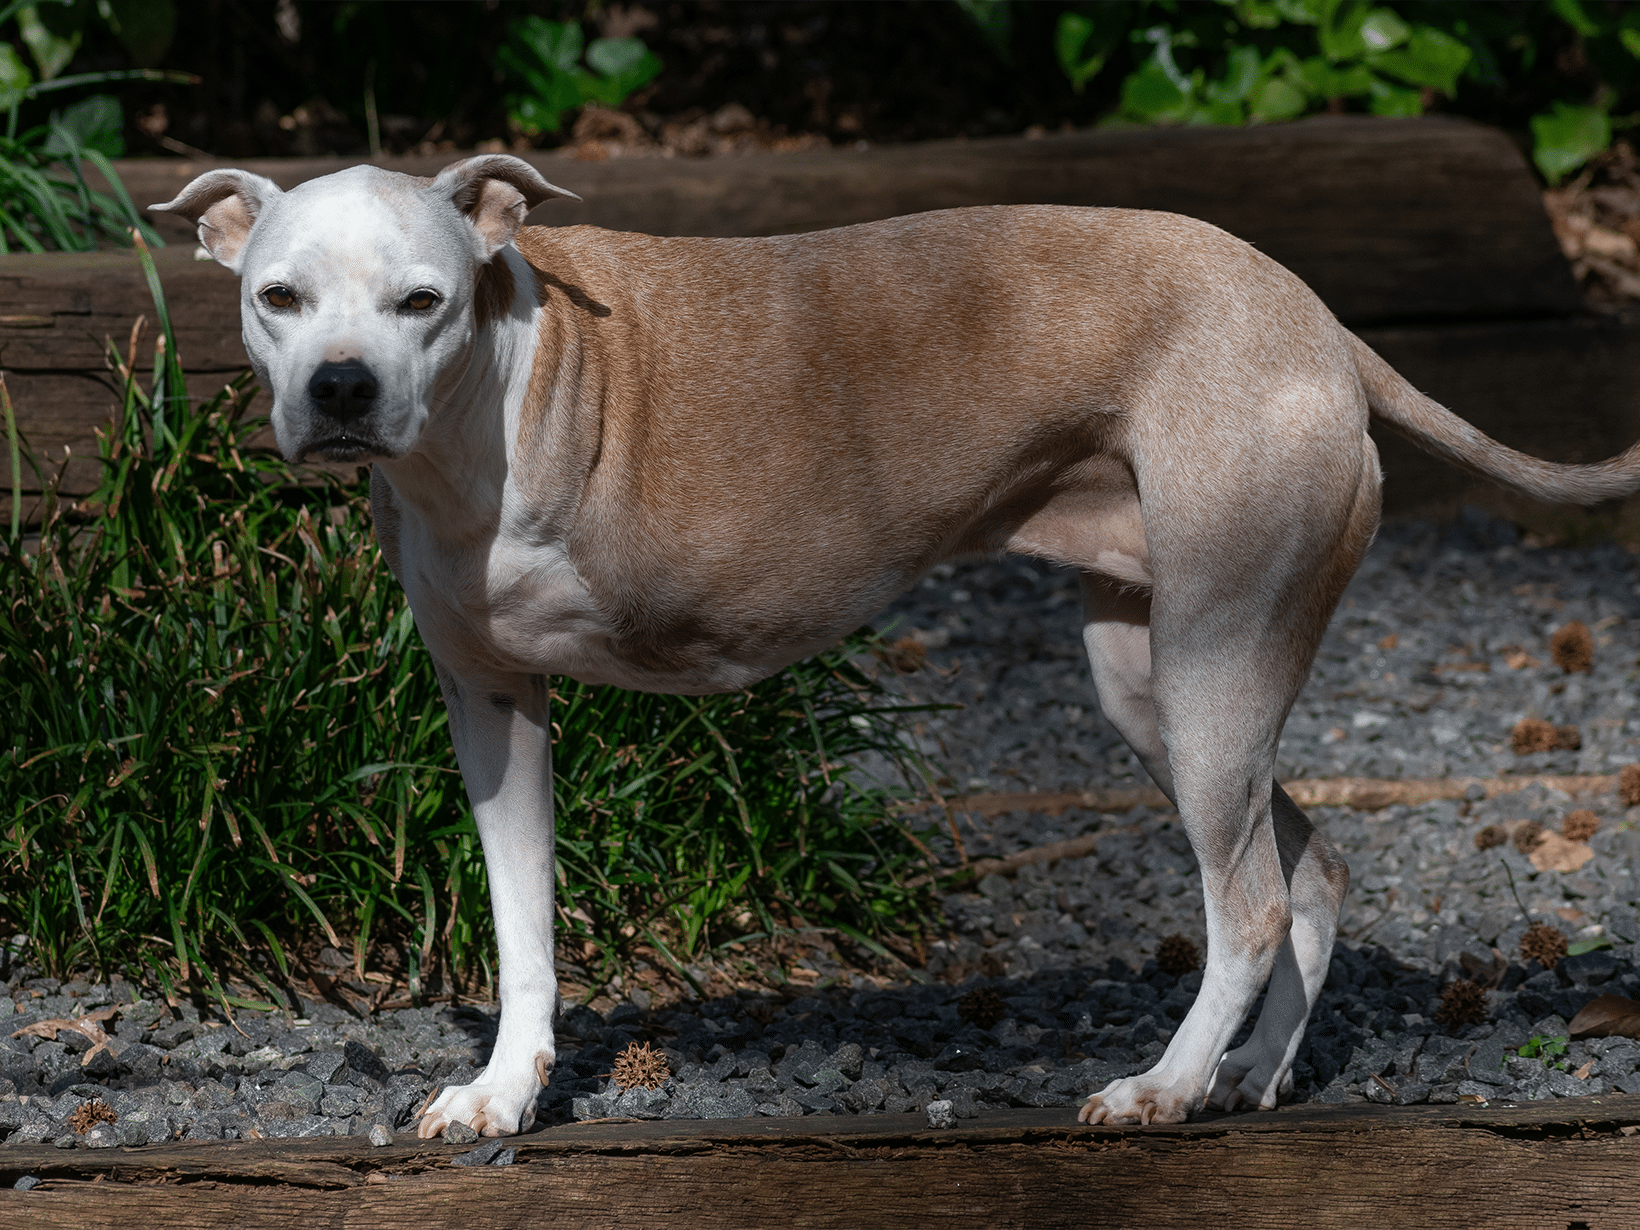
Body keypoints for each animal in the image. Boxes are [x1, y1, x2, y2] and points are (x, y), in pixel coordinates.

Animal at [154, 156, 1640, 1148]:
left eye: (422, 301)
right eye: (279, 296)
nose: (341, 390)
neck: (502, 392)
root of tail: (1319, 325)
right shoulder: (494, 702)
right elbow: (522, 924)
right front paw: (504, 1090)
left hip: (1218, 661)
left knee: (1250, 902)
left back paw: (1162, 1087)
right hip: (1158, 685)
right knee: (1308, 867)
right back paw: (1251, 1078)